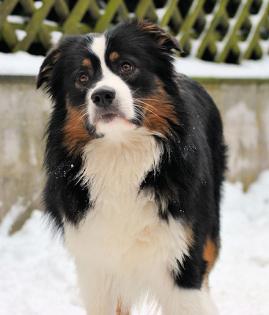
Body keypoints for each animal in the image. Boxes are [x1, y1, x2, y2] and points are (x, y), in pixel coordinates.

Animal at [36, 21, 225, 314]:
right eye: (82, 77)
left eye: (126, 66)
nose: (102, 95)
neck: (121, 154)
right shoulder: (98, 270)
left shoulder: (182, 262)